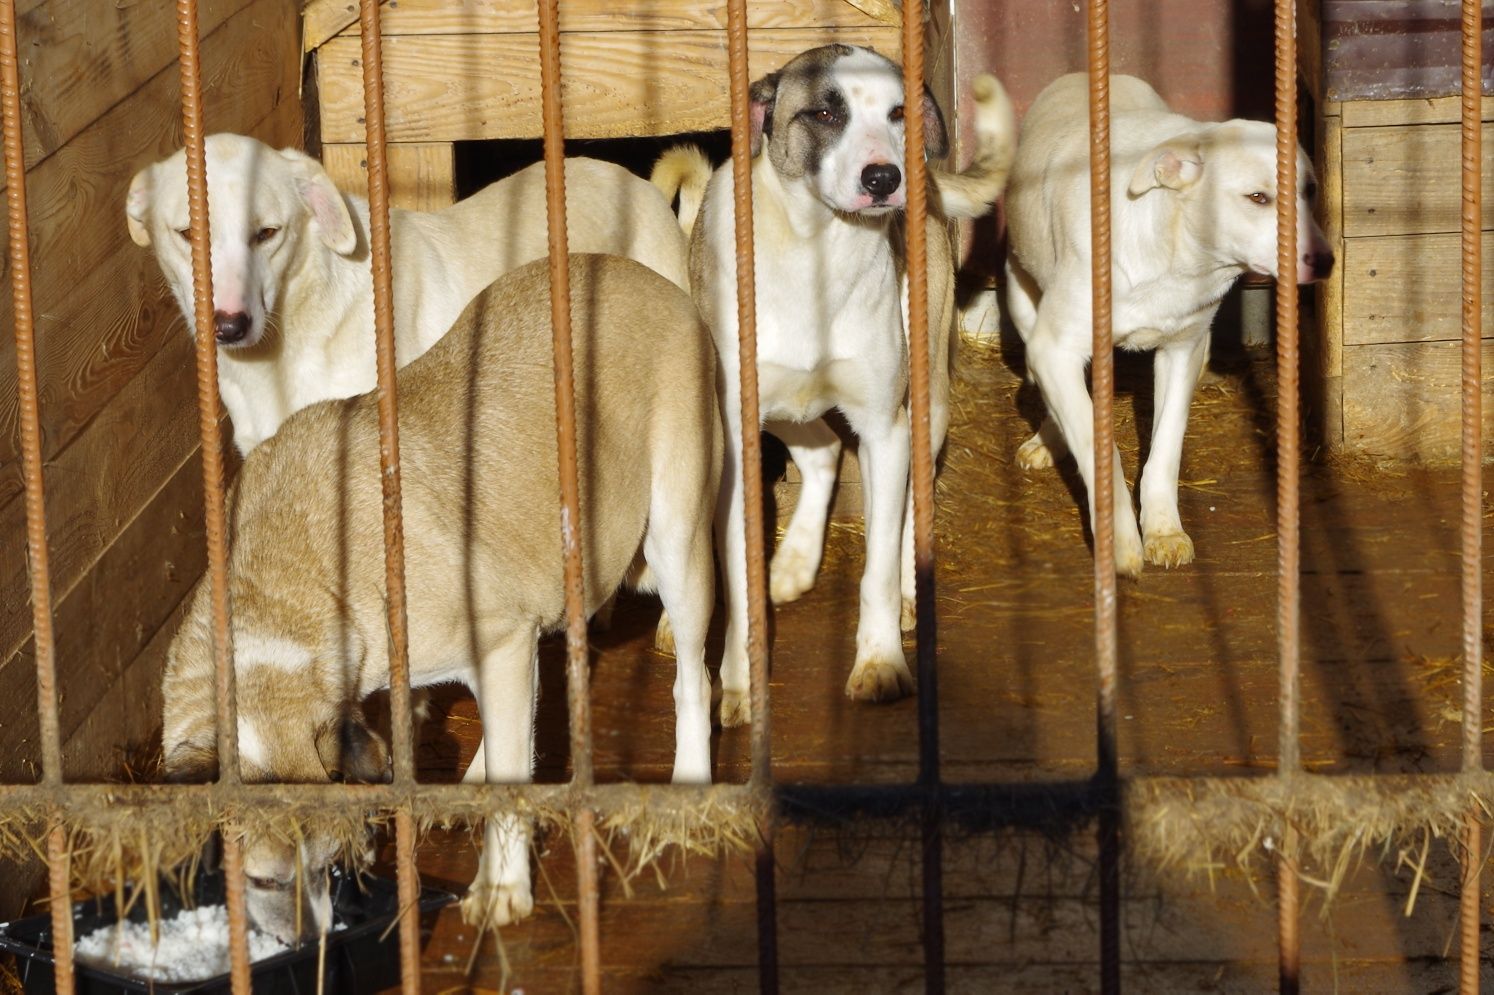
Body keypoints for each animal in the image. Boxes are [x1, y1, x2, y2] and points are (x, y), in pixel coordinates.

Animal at [160, 252, 720, 944]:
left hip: (677, 542)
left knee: (692, 678)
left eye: (326, 866)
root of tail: (650, 281)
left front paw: (502, 891)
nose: (315, 942)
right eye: (260, 881)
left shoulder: (502, 642)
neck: (283, 588)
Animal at [651, 46, 1015, 714]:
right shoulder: (737, 435)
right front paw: (740, 679)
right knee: (819, 453)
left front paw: (880, 661)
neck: (815, 251)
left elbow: (877, 564)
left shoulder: (884, 429)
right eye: (824, 112)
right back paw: (782, 566)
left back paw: (903, 589)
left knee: (899, 496)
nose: (884, 179)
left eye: (898, 113)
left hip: (924, 404)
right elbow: (736, 575)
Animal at [1003, 73, 1332, 573]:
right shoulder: (1054, 348)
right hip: (1024, 307)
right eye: (1258, 197)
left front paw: (1163, 530)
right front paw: (1120, 541)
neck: (1176, 255)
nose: (1327, 261)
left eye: (1309, 191)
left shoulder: (1183, 350)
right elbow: (1100, 446)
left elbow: (1165, 449)